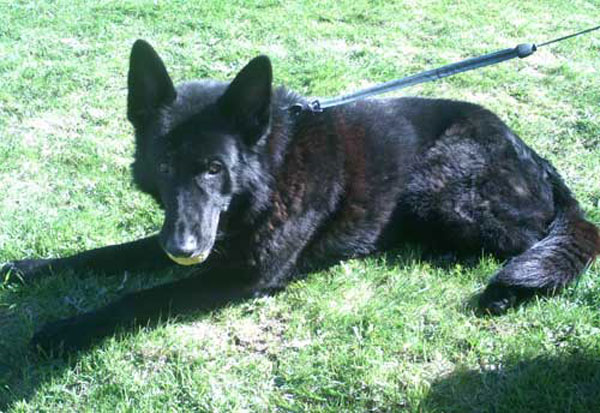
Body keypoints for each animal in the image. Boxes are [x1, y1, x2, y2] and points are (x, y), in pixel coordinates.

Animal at [2, 39, 596, 350]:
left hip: (442, 190)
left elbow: (143, 297)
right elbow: (102, 256)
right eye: (165, 166)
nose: (184, 250)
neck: (267, 172)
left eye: (215, 169)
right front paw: (29, 269)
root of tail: (536, 157)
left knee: (540, 234)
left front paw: (71, 327)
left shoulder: (244, 274)